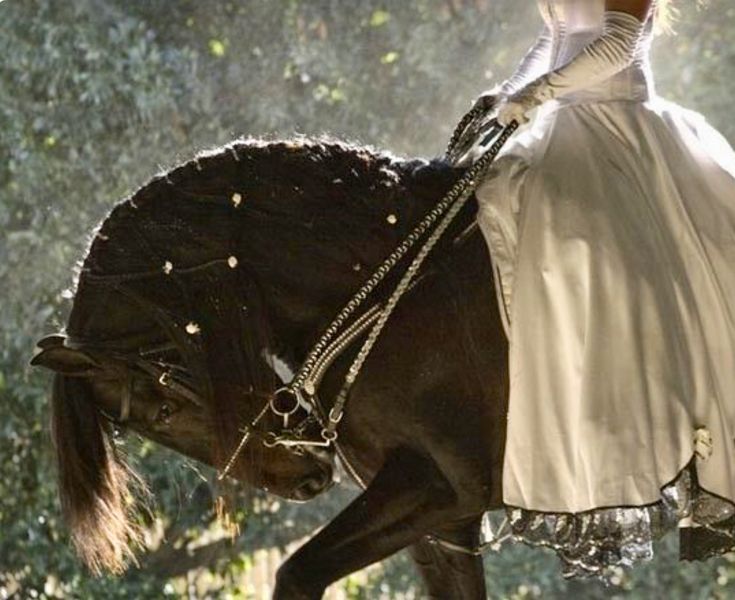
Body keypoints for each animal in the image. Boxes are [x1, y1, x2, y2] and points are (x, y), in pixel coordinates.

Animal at [31, 136, 508, 600]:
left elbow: (297, 574)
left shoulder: (439, 484)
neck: (393, 287)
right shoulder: (445, 530)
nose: (306, 484)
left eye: (163, 412)